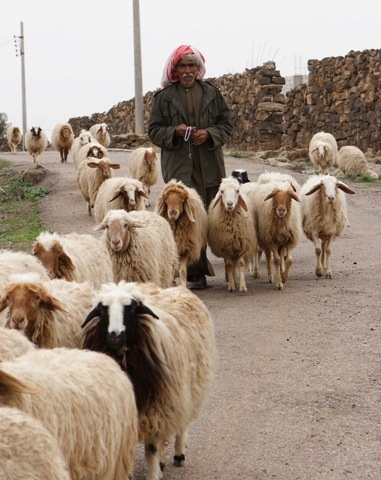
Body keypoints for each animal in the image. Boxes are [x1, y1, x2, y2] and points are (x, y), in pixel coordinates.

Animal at [80, 282, 217, 480]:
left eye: (131, 309)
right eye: (103, 310)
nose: (115, 336)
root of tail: (179, 288)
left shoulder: (157, 406)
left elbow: (151, 448)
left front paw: (153, 473)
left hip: (186, 390)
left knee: (181, 424)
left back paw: (179, 454)